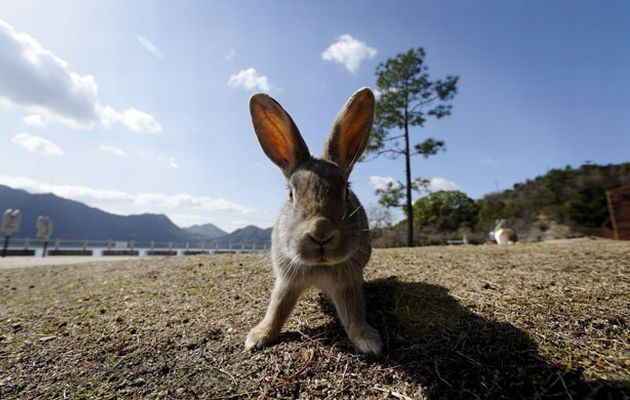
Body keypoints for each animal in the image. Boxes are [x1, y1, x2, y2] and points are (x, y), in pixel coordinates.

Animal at [246, 88, 386, 356]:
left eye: (346, 191)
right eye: (291, 194)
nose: (321, 231)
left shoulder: (348, 282)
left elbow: (354, 313)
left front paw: (369, 341)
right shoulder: (287, 280)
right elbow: (277, 309)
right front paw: (257, 337)